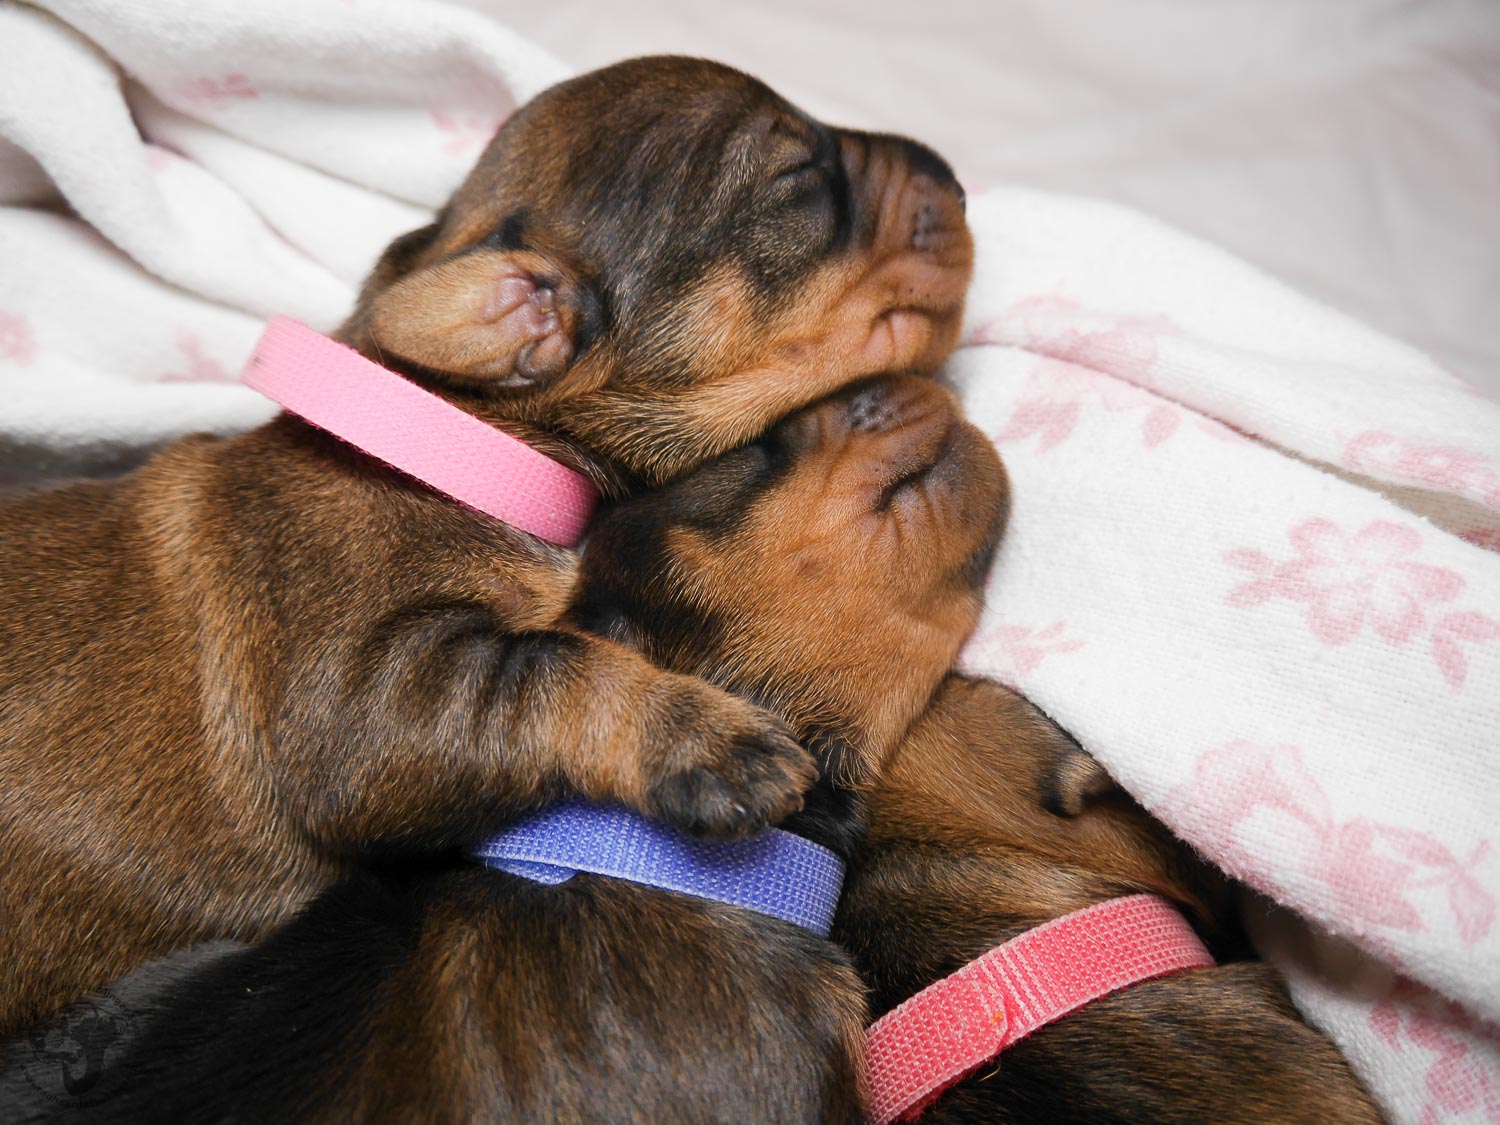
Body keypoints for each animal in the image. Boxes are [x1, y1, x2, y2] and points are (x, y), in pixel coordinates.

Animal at [0, 55, 972, 1033]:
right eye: (799, 177)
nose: (954, 175)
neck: (469, 442)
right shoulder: (359, 694)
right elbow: (554, 666)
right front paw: (707, 738)